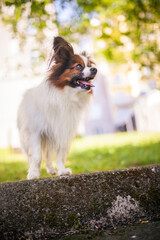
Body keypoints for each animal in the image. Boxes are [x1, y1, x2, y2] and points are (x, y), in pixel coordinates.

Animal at [17, 35, 97, 178]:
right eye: (78, 66)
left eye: (90, 66)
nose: (95, 69)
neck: (65, 96)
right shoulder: (35, 132)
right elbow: (36, 156)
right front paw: (33, 174)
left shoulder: (62, 131)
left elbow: (60, 155)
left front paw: (62, 171)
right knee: (34, 155)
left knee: (48, 155)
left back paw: (51, 169)